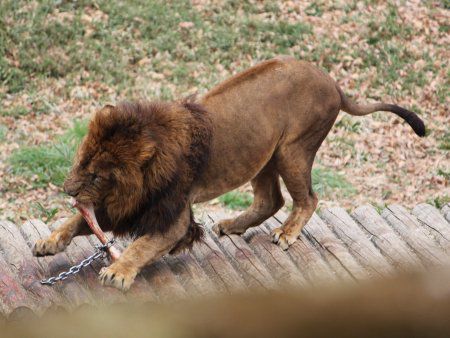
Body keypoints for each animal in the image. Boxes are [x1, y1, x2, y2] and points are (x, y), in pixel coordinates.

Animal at [32, 56, 426, 290]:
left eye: (97, 176)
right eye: (80, 161)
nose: (67, 190)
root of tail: (333, 83)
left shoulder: (173, 218)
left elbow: (142, 245)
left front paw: (118, 271)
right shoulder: (127, 207)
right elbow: (78, 222)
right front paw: (48, 241)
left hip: (293, 150)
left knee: (308, 199)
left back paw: (286, 234)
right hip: (263, 155)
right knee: (271, 200)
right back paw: (231, 226)